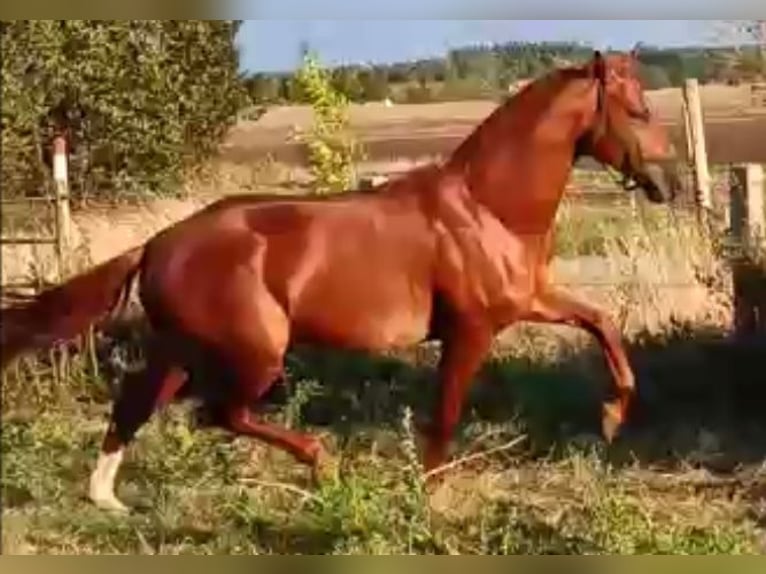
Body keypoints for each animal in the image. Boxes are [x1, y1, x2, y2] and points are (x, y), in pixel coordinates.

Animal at [0, 50, 682, 512]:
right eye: (638, 109)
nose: (669, 184)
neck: (488, 208)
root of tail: (156, 245)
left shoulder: (530, 302)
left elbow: (602, 322)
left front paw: (612, 418)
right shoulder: (471, 330)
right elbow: (445, 413)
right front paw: (427, 493)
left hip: (182, 349)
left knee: (140, 402)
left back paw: (107, 499)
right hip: (255, 352)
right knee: (218, 413)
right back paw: (320, 464)